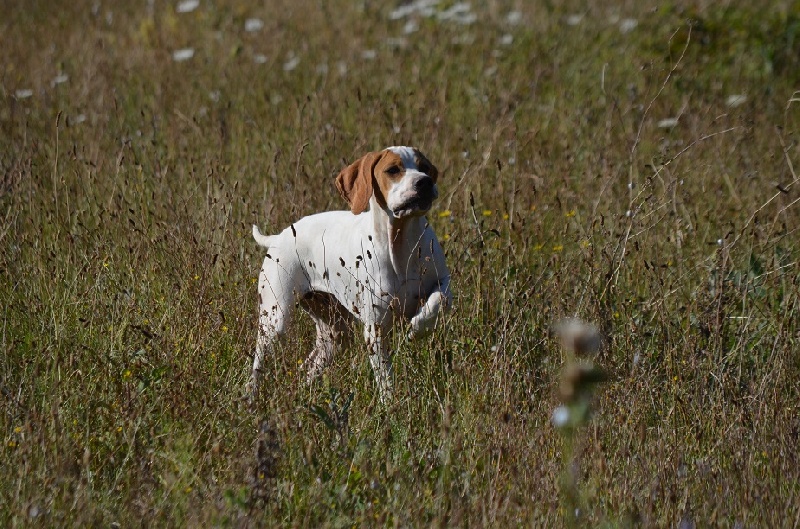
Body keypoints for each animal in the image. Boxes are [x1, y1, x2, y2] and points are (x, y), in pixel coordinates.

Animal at [250, 146, 452, 403]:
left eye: (424, 167)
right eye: (392, 170)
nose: (424, 182)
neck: (400, 244)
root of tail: (279, 236)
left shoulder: (442, 281)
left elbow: (440, 299)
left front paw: (418, 328)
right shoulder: (375, 330)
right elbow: (385, 379)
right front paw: (390, 407)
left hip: (335, 334)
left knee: (308, 369)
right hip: (275, 320)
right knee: (257, 368)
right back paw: (249, 400)